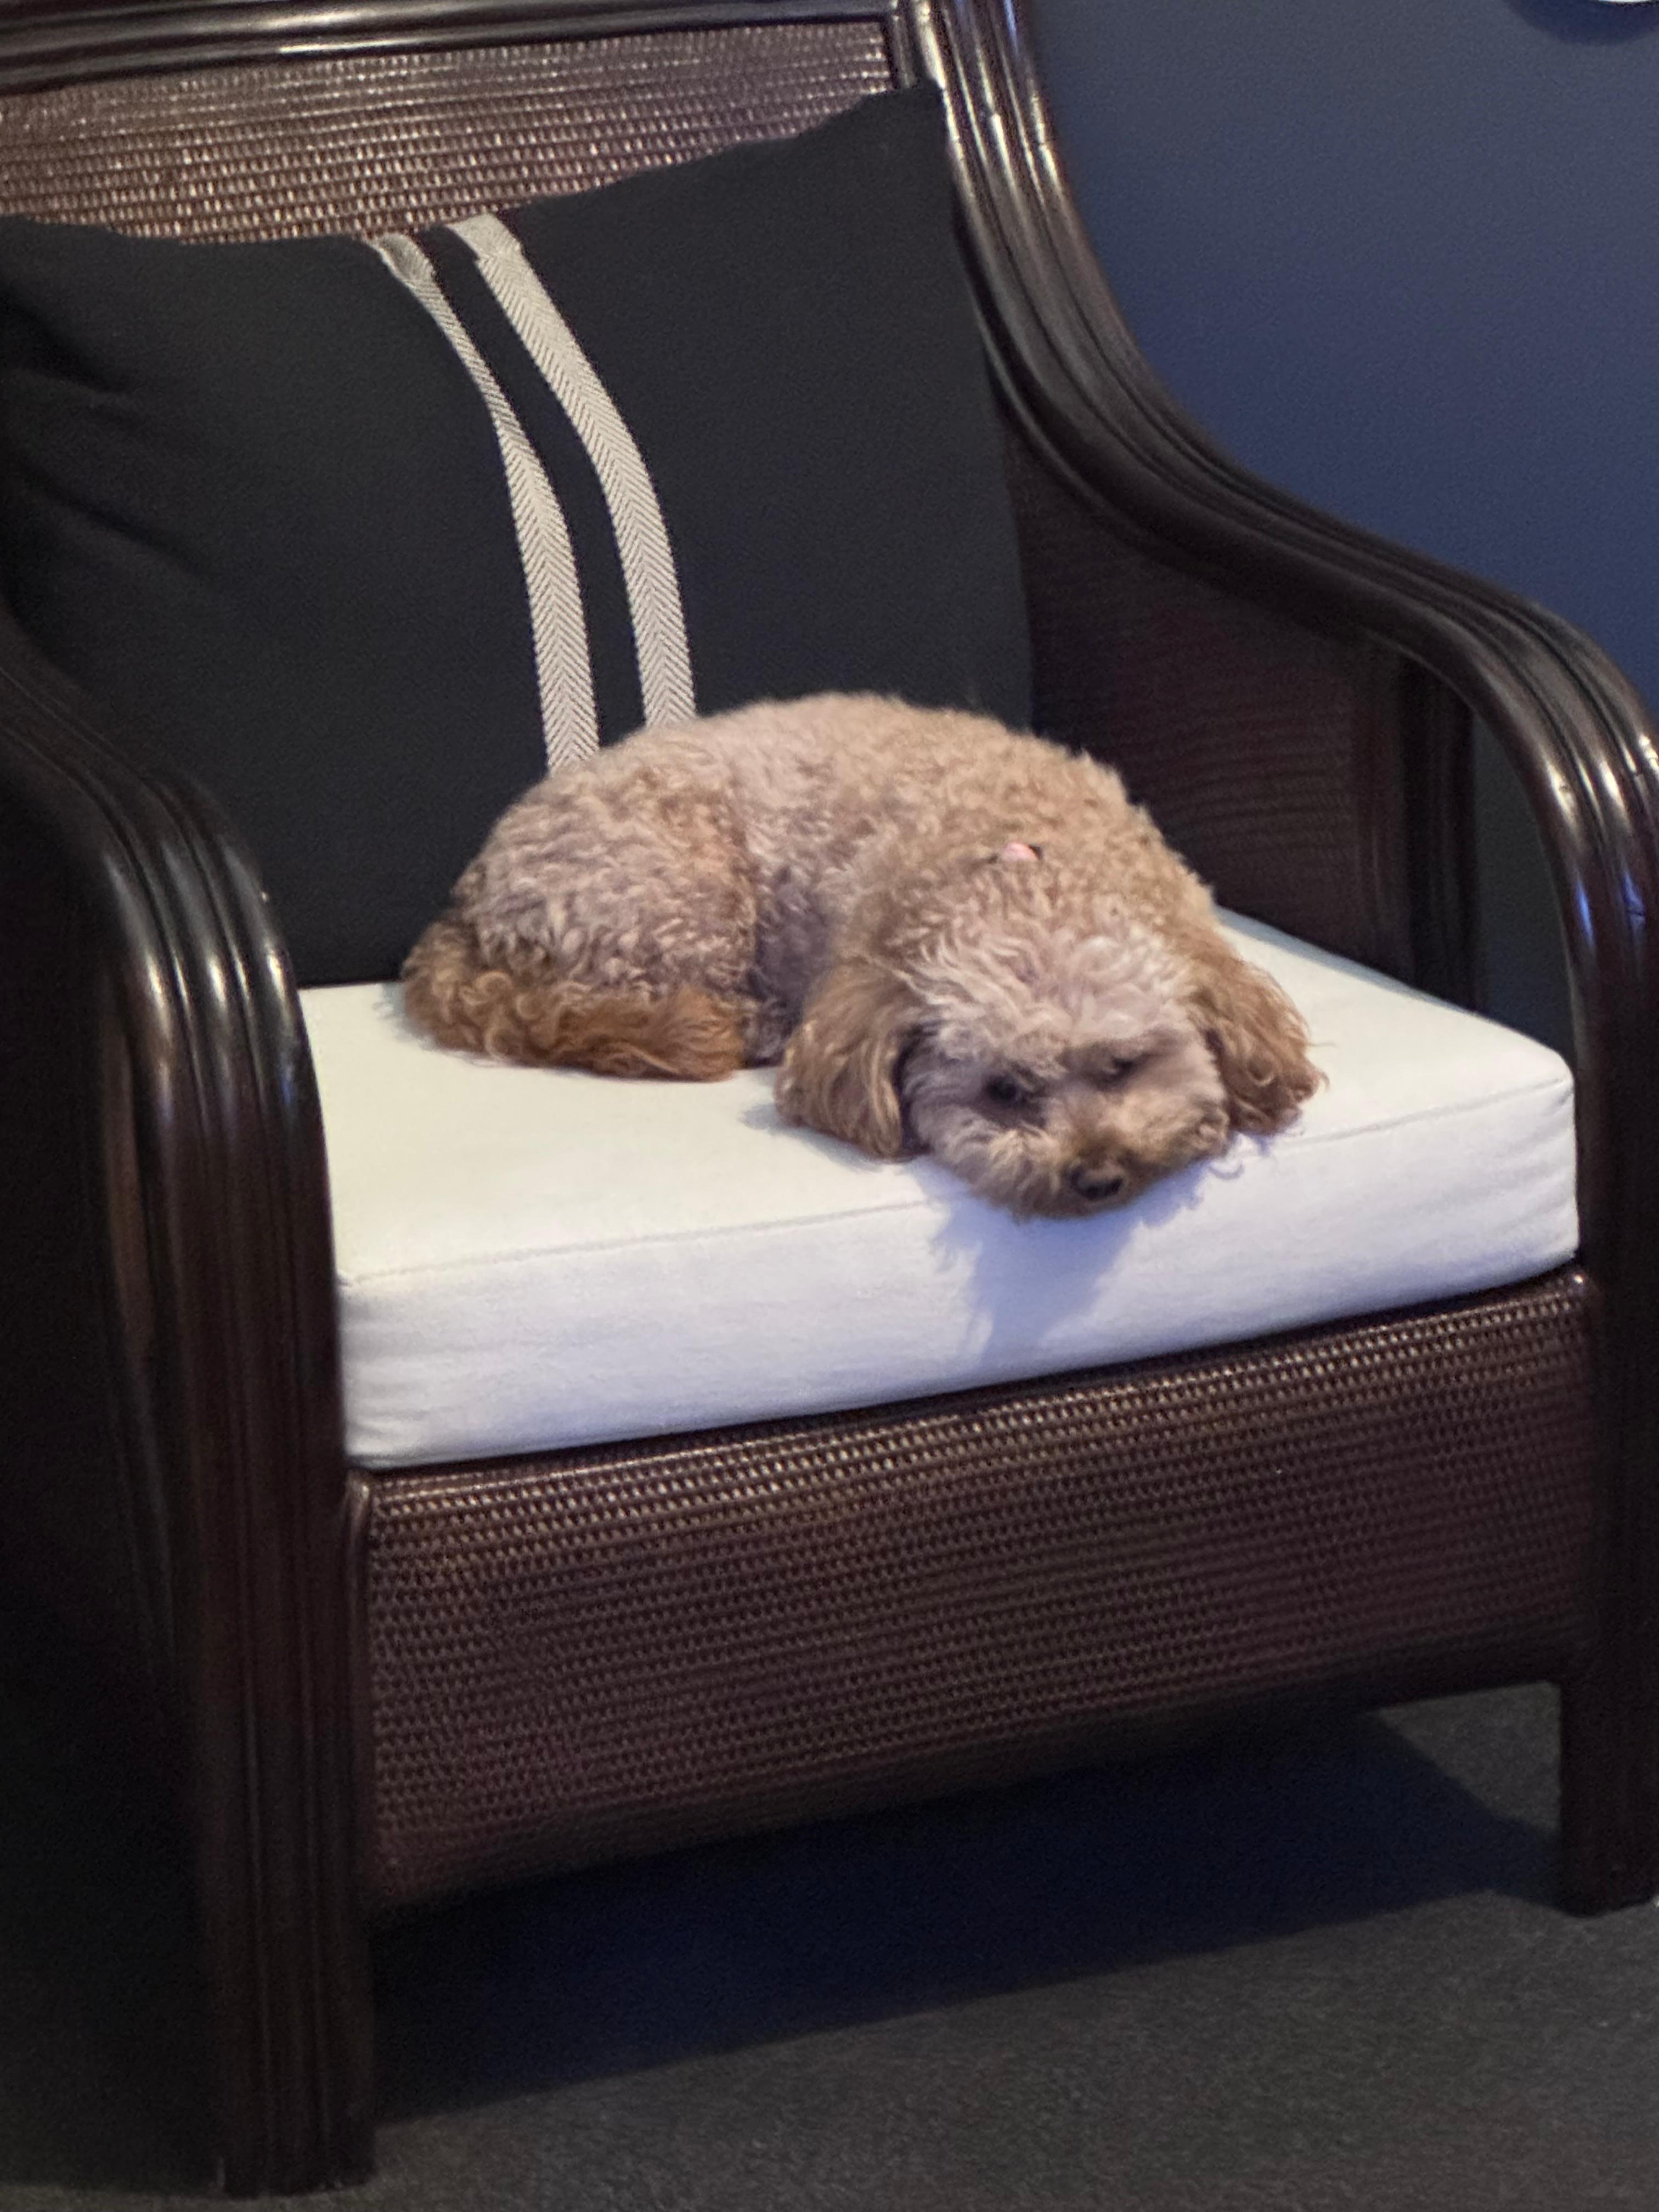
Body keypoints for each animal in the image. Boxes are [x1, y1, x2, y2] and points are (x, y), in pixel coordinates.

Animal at [403, 693, 1320, 1217]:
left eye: (1123, 1067)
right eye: (1004, 1092)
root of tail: (466, 902)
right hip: (680, 893)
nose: (1097, 1178)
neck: (1028, 868)